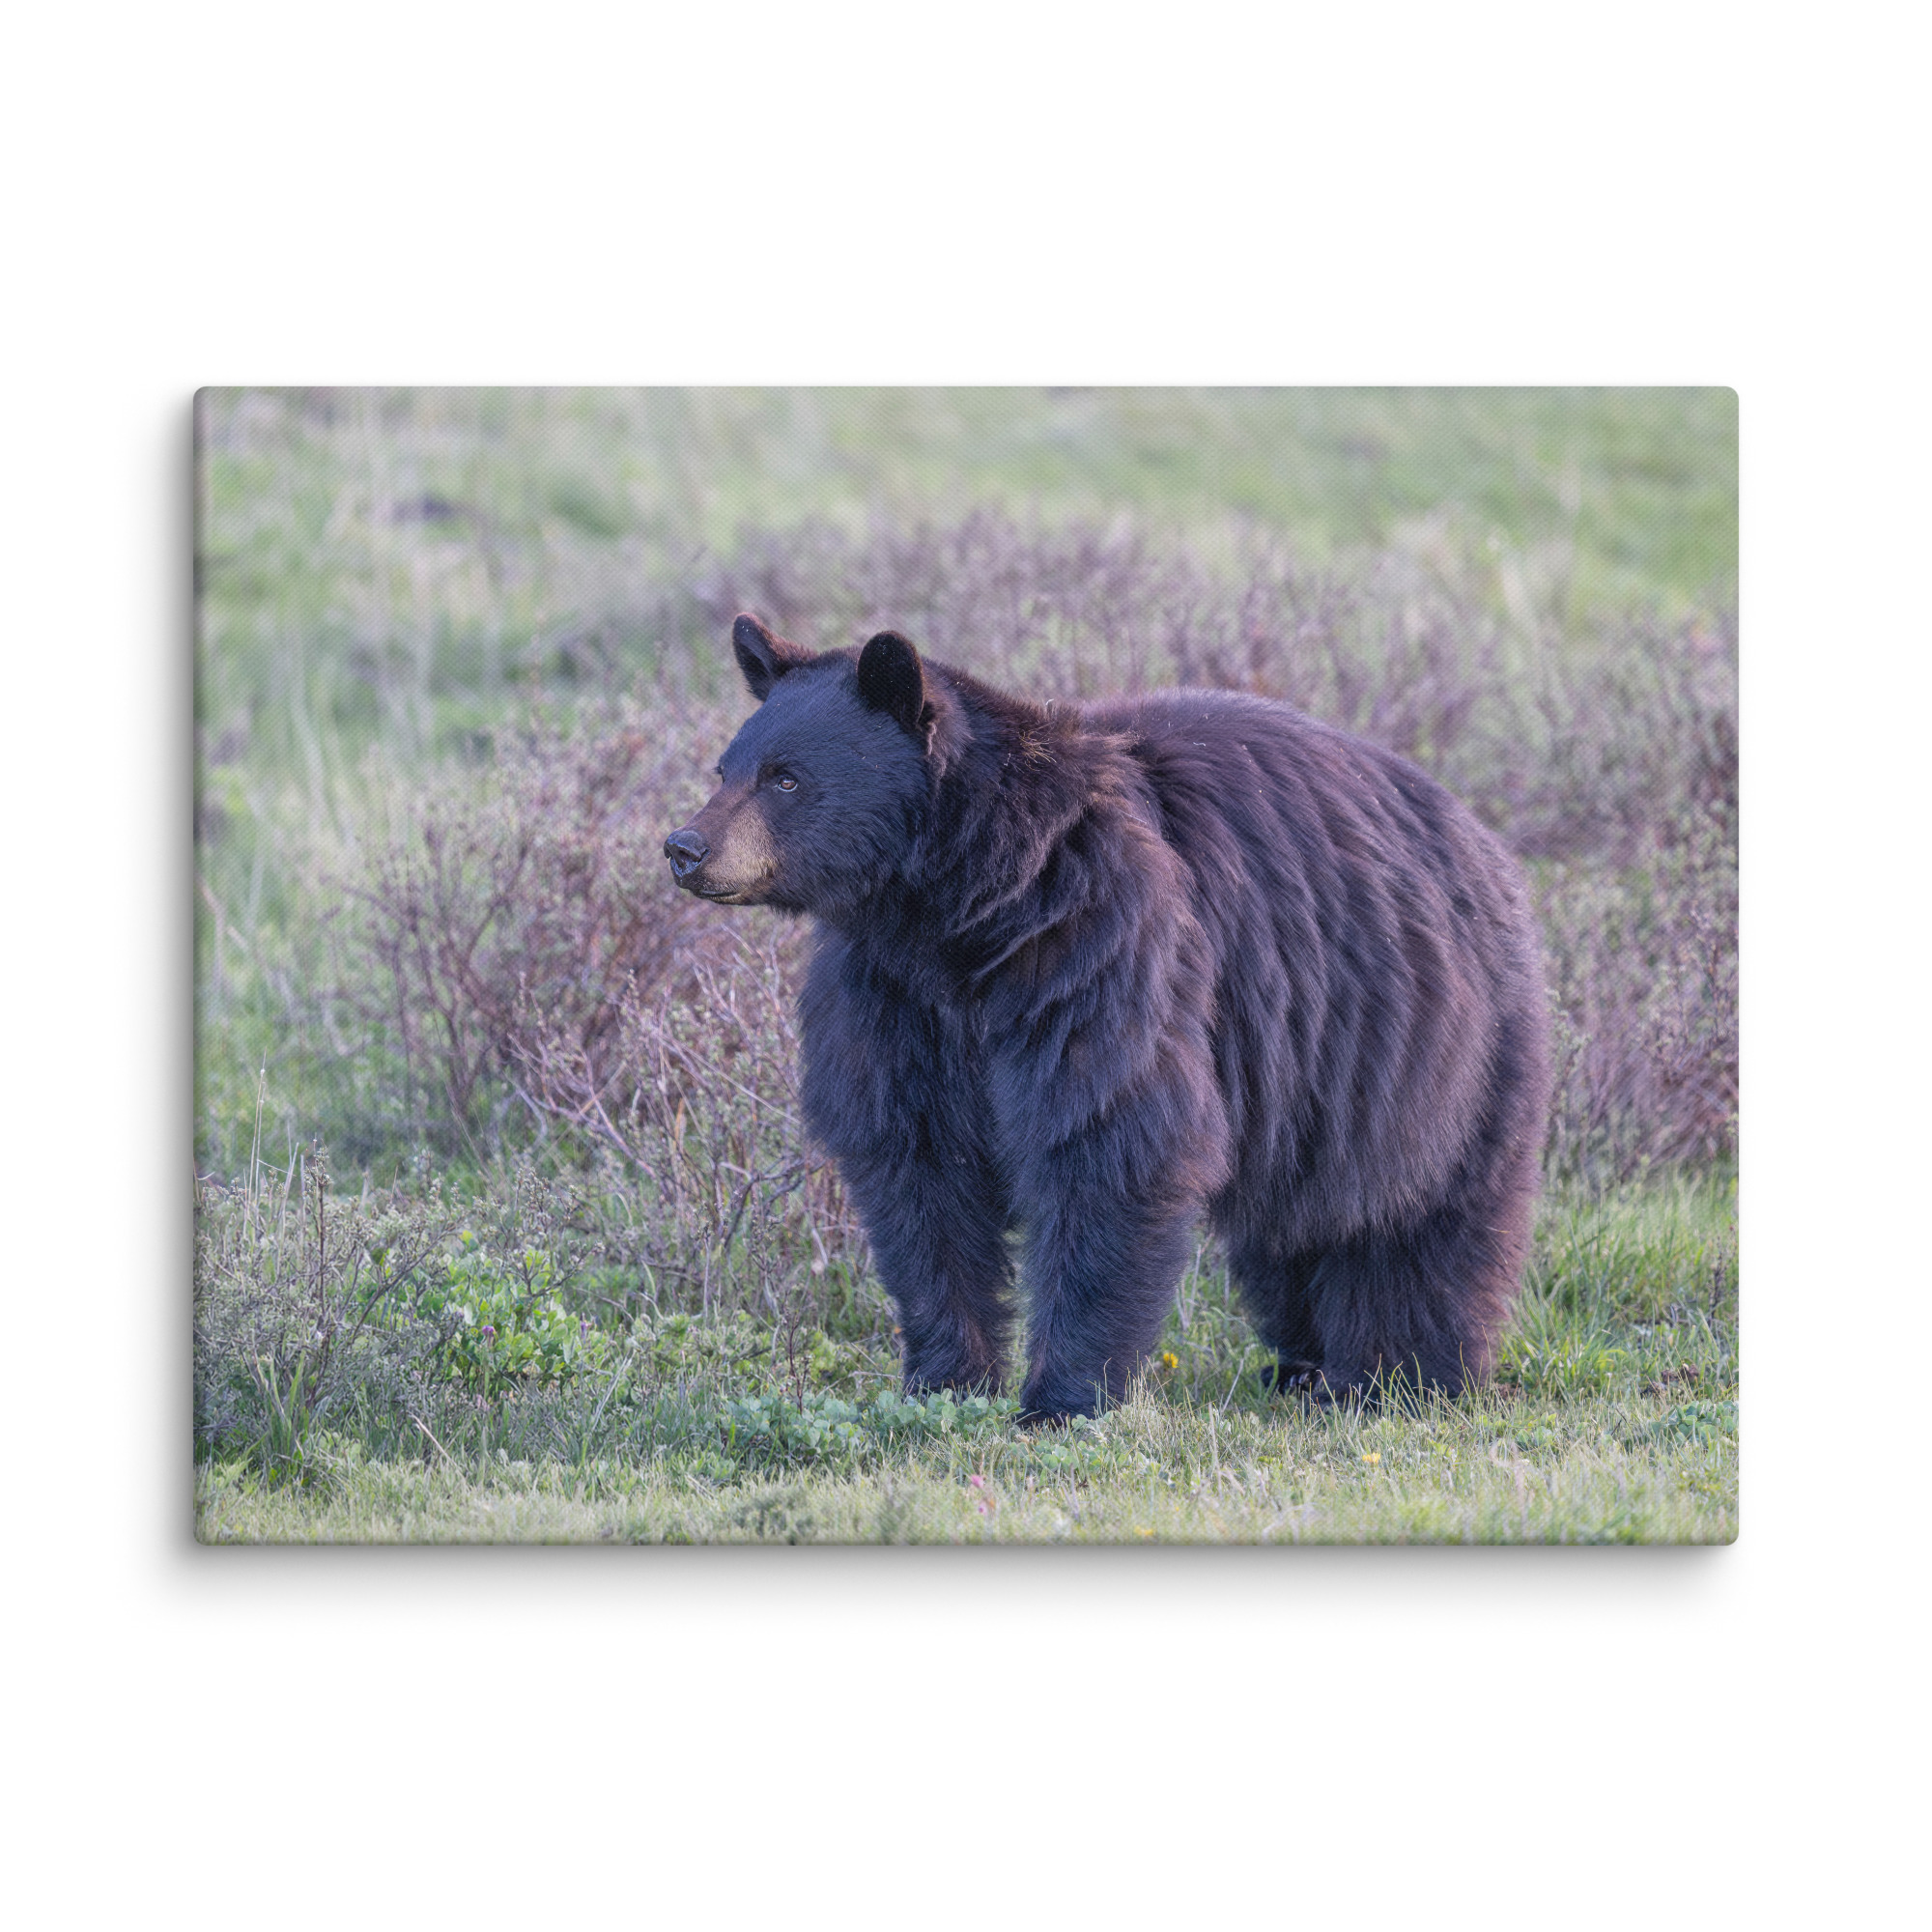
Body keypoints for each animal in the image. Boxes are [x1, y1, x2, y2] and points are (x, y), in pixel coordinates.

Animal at [664, 613, 1552, 1422]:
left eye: (785, 778)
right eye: (725, 767)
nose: (685, 847)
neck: (961, 909)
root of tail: (1482, 838)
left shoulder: (1098, 945)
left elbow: (1107, 1138)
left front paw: (1061, 1398)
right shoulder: (892, 998)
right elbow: (918, 1169)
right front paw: (945, 1380)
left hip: (1430, 1046)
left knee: (1420, 1219)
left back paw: (1401, 1375)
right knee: (1295, 1229)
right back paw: (1303, 1366)